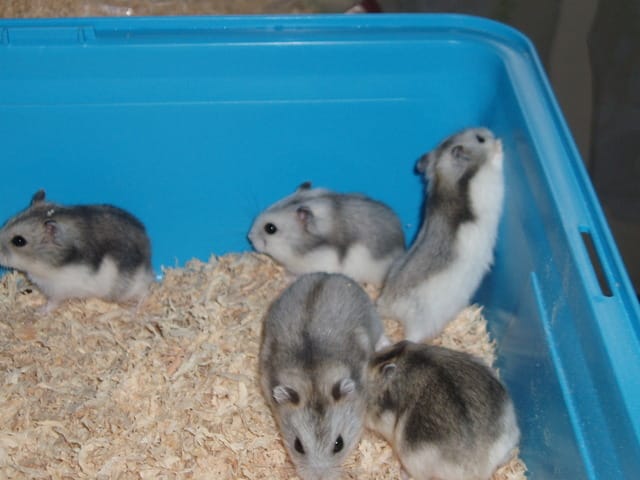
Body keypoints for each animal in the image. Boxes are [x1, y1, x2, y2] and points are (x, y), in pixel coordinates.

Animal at [0, 190, 154, 311]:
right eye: (6, 222)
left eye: (19, 241)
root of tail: (148, 264)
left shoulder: (57, 290)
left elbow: (52, 303)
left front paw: (39, 311)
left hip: (129, 288)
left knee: (145, 292)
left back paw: (133, 311)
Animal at [259, 272, 384, 480]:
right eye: (298, 446)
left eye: (339, 444)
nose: (319, 476)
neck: (314, 382)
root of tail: (327, 274)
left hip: (374, 318)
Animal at [377, 127, 504, 341]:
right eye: (480, 139)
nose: (490, 131)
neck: (445, 177)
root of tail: (386, 303)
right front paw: (500, 146)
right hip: (423, 322)